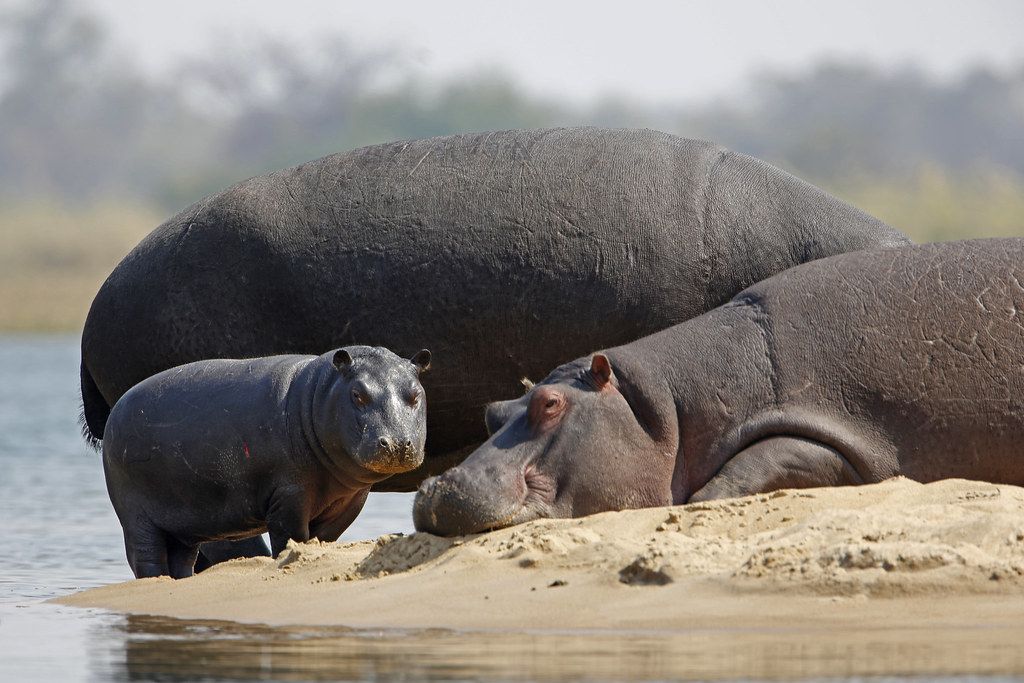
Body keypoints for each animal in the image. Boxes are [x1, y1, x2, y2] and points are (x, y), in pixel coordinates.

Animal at [103, 345, 430, 578]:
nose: (397, 443)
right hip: (136, 518)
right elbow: (290, 539)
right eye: (357, 394)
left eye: (415, 394)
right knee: (146, 558)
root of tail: (115, 410)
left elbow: (322, 538)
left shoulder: (349, 500)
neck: (316, 395)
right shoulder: (289, 499)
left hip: (184, 527)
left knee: (181, 560)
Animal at [414, 238, 1024, 536]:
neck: (665, 404)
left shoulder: (844, 436)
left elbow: (751, 466)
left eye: (550, 404)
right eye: (493, 411)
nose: (438, 486)